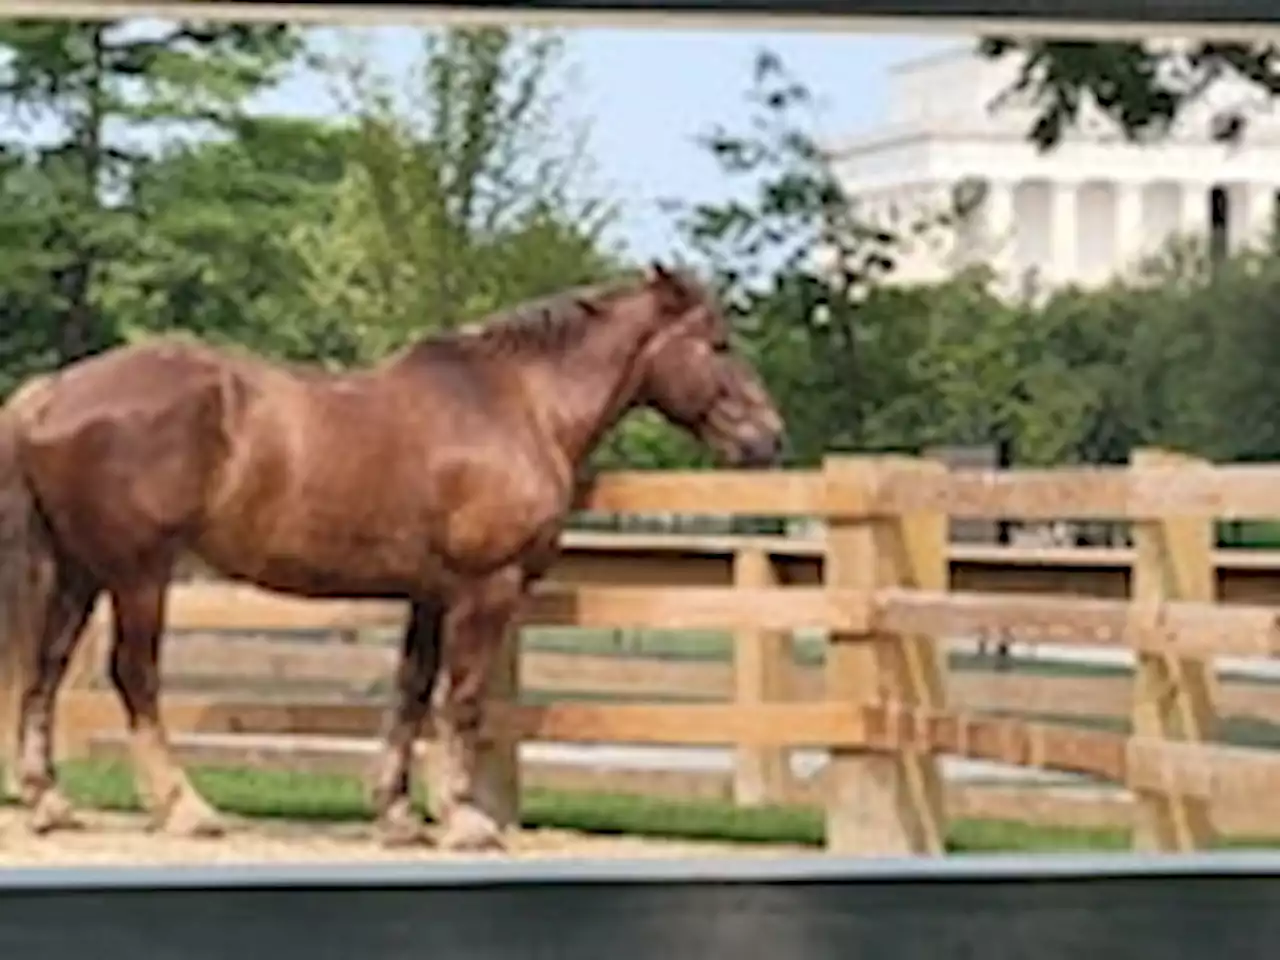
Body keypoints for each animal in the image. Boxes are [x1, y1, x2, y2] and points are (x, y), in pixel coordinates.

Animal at [0, 261, 788, 849]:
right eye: (718, 344)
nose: (769, 437)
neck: (519, 403)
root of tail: (49, 394)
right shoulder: (486, 588)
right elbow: (462, 699)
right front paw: (465, 819)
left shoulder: (432, 596)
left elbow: (411, 693)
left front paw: (399, 814)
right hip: (137, 572)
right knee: (134, 675)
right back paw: (185, 807)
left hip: (79, 570)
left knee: (47, 668)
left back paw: (49, 803)